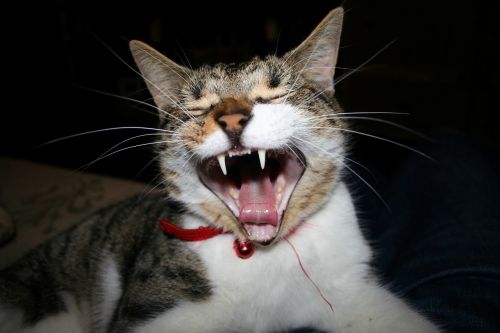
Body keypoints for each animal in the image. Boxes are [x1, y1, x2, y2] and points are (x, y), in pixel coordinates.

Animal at [1, 7, 444, 332]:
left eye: (274, 94)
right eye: (199, 107)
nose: (231, 118)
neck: (262, 254)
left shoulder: (352, 288)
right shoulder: (155, 311)